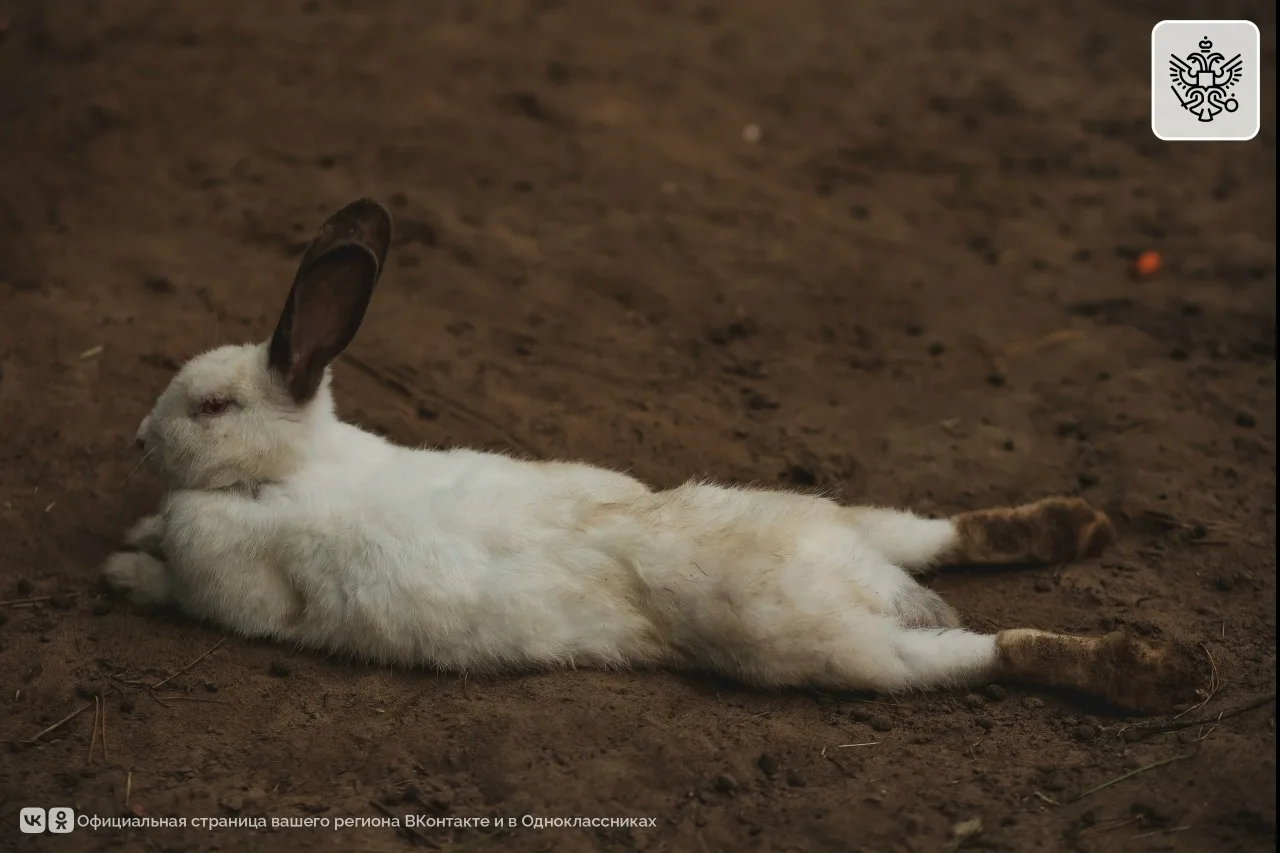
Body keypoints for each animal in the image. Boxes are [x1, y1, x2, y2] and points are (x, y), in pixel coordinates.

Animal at [102, 198, 1207, 714]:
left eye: (209, 404)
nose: (142, 439)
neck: (297, 468)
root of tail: (869, 580)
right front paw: (135, 527)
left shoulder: (228, 584)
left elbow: (174, 582)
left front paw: (122, 563)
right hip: (841, 531)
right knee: (944, 538)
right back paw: (1075, 528)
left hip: (834, 653)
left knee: (989, 649)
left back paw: (1155, 671)